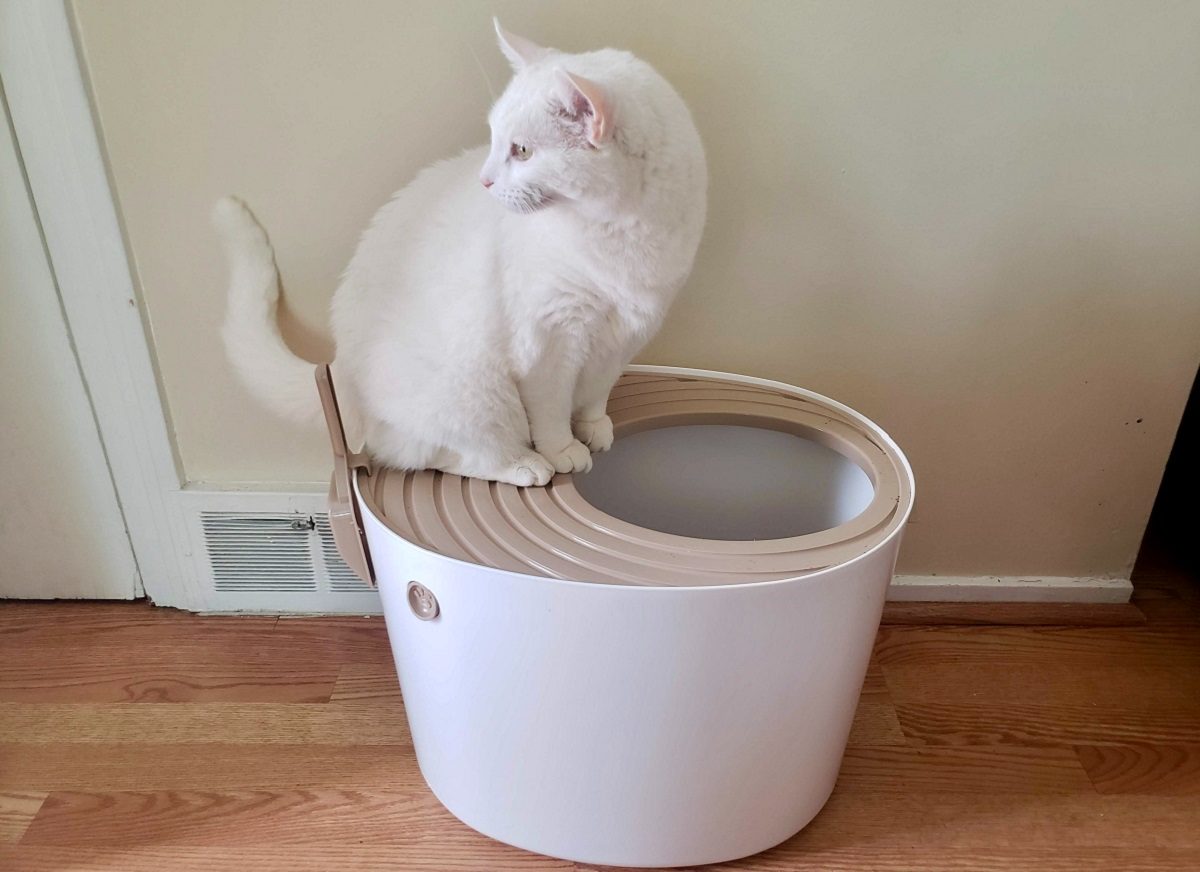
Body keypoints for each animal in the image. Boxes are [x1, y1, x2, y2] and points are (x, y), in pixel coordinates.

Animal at [216, 20, 700, 484]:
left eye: (522, 150)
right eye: (495, 139)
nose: (484, 181)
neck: (619, 231)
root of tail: (342, 377)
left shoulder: (627, 335)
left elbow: (597, 391)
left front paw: (595, 426)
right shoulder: (549, 344)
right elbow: (551, 411)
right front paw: (563, 449)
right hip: (471, 392)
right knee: (435, 454)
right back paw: (524, 465)